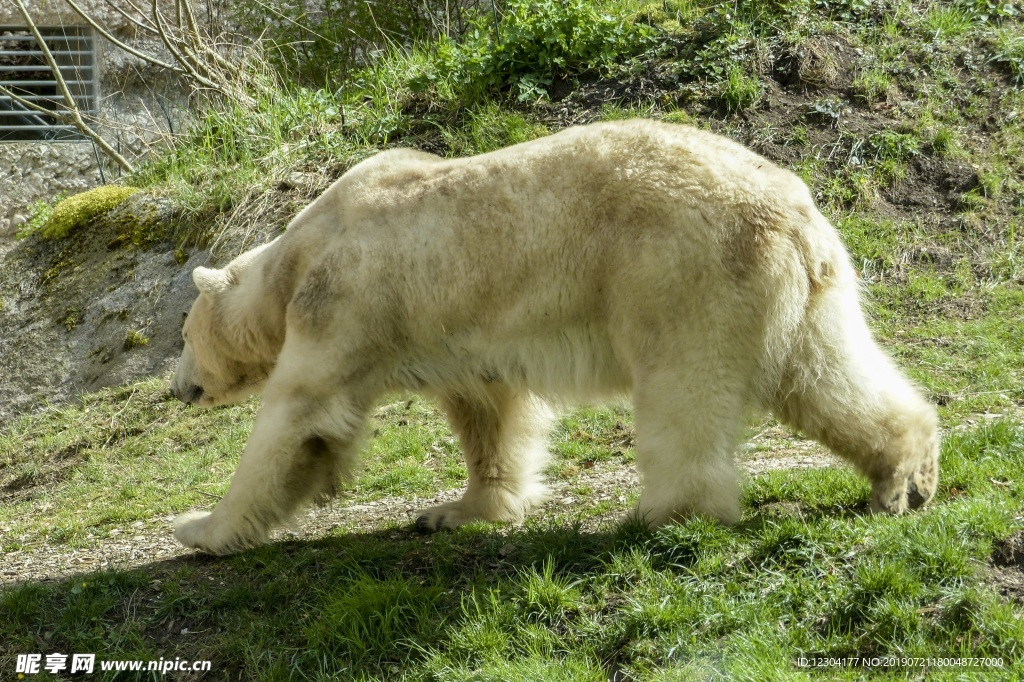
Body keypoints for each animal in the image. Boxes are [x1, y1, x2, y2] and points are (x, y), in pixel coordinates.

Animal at [172, 118, 937, 552]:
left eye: (182, 335)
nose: (178, 387)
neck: (295, 259)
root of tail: (795, 215)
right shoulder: (455, 333)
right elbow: (490, 412)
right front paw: (455, 511)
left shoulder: (343, 303)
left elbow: (300, 416)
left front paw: (202, 527)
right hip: (803, 295)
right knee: (825, 376)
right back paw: (905, 476)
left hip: (680, 276)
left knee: (683, 395)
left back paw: (664, 513)